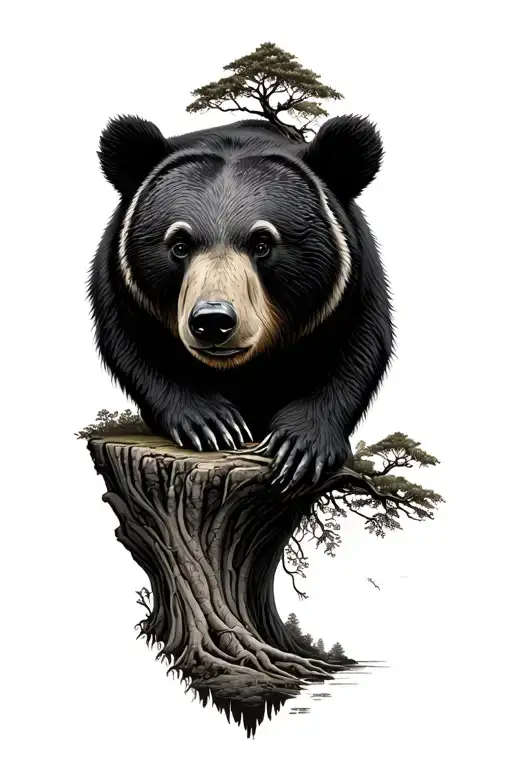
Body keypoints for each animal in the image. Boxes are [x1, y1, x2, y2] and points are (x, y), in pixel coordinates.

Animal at [88, 114, 394, 492]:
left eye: (263, 243)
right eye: (179, 245)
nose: (213, 321)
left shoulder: (354, 277)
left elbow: (358, 347)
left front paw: (298, 446)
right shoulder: (120, 278)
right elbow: (133, 345)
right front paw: (212, 424)